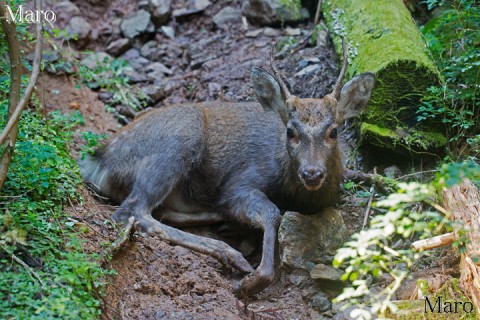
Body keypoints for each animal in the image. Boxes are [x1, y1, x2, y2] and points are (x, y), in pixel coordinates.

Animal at [79, 41, 376, 296]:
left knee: (157, 210)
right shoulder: (240, 183)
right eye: (290, 131)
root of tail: (97, 162)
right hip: (179, 139)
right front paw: (252, 281)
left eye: (333, 131)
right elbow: (272, 213)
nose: (312, 173)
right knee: (133, 211)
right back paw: (231, 254)